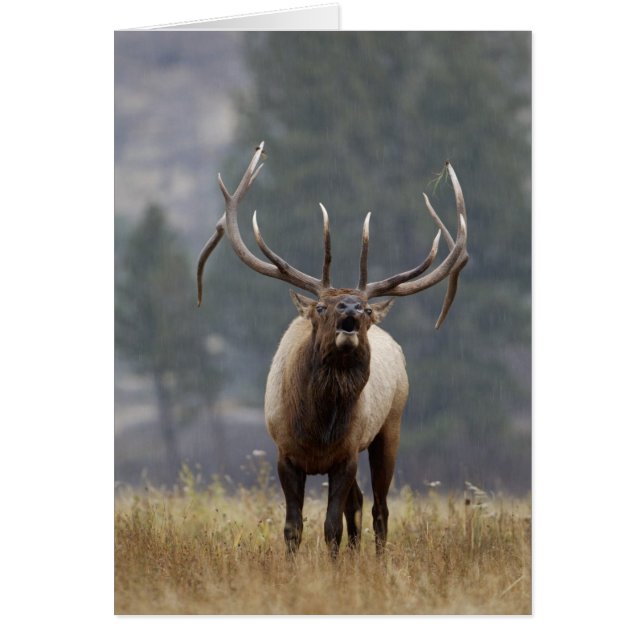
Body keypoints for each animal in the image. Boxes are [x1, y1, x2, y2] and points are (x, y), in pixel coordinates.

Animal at [197, 142, 468, 556]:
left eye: (368, 310)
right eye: (322, 307)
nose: (351, 308)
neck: (317, 428)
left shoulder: (345, 454)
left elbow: (331, 526)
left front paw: (335, 564)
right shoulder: (285, 454)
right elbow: (293, 526)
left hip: (390, 427)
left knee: (378, 507)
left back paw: (376, 558)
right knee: (359, 503)